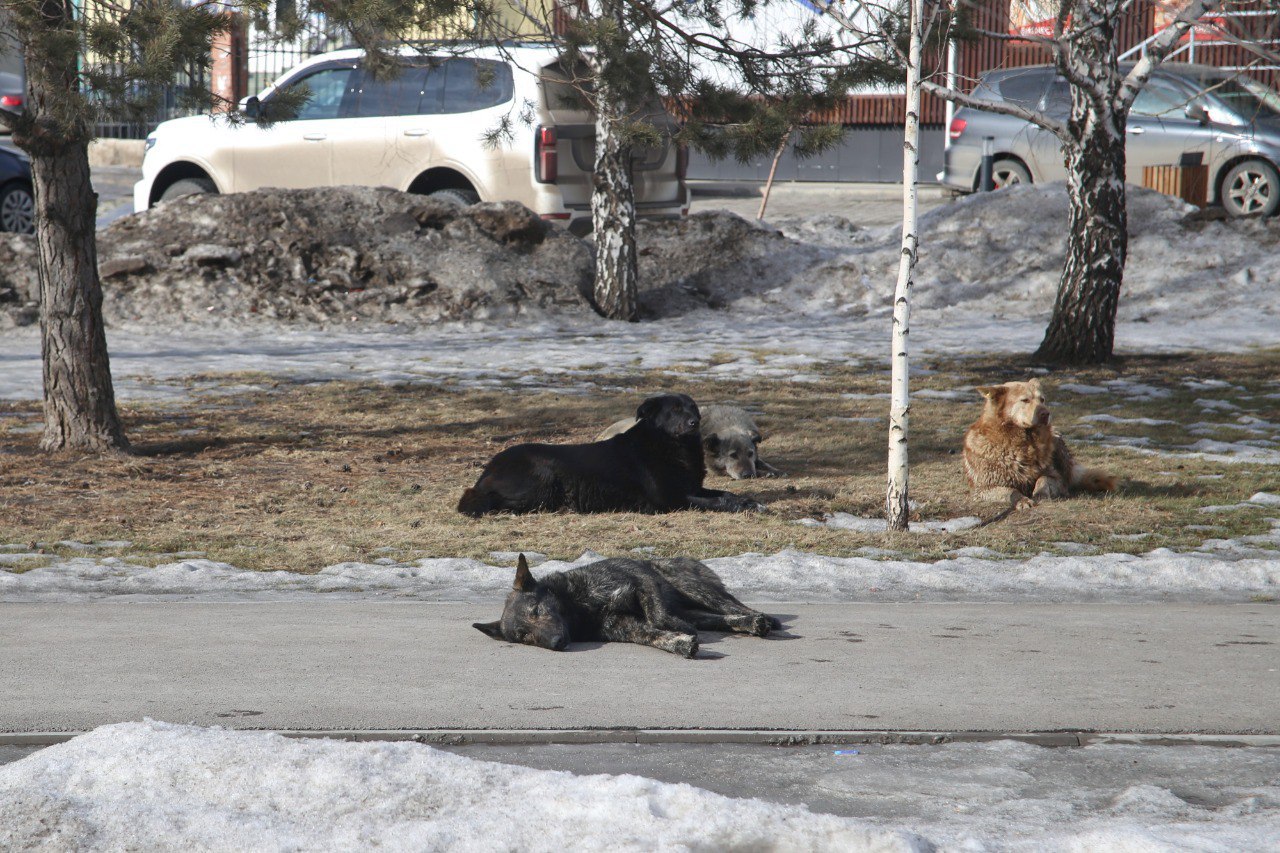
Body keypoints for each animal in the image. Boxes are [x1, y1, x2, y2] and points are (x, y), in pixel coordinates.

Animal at [458, 389, 757, 512]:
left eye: (693, 408)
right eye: (674, 410)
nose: (695, 422)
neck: (668, 445)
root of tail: (487, 470)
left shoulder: (691, 487)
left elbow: (724, 493)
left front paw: (747, 501)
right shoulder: (671, 499)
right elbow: (715, 502)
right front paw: (741, 506)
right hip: (542, 476)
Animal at [476, 550, 778, 655]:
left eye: (537, 610)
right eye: (523, 636)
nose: (556, 643)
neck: (580, 609)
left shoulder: (642, 582)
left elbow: (658, 616)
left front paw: (681, 631)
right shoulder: (629, 628)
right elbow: (656, 636)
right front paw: (680, 644)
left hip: (693, 588)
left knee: (731, 606)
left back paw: (762, 618)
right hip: (697, 608)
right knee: (721, 619)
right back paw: (749, 624)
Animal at [962, 376, 1116, 507]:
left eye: (1042, 400)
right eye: (1025, 400)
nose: (1046, 414)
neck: (1024, 443)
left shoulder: (1055, 477)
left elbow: (1043, 480)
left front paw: (1040, 494)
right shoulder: (983, 489)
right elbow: (1010, 491)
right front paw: (1022, 500)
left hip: (1057, 439)